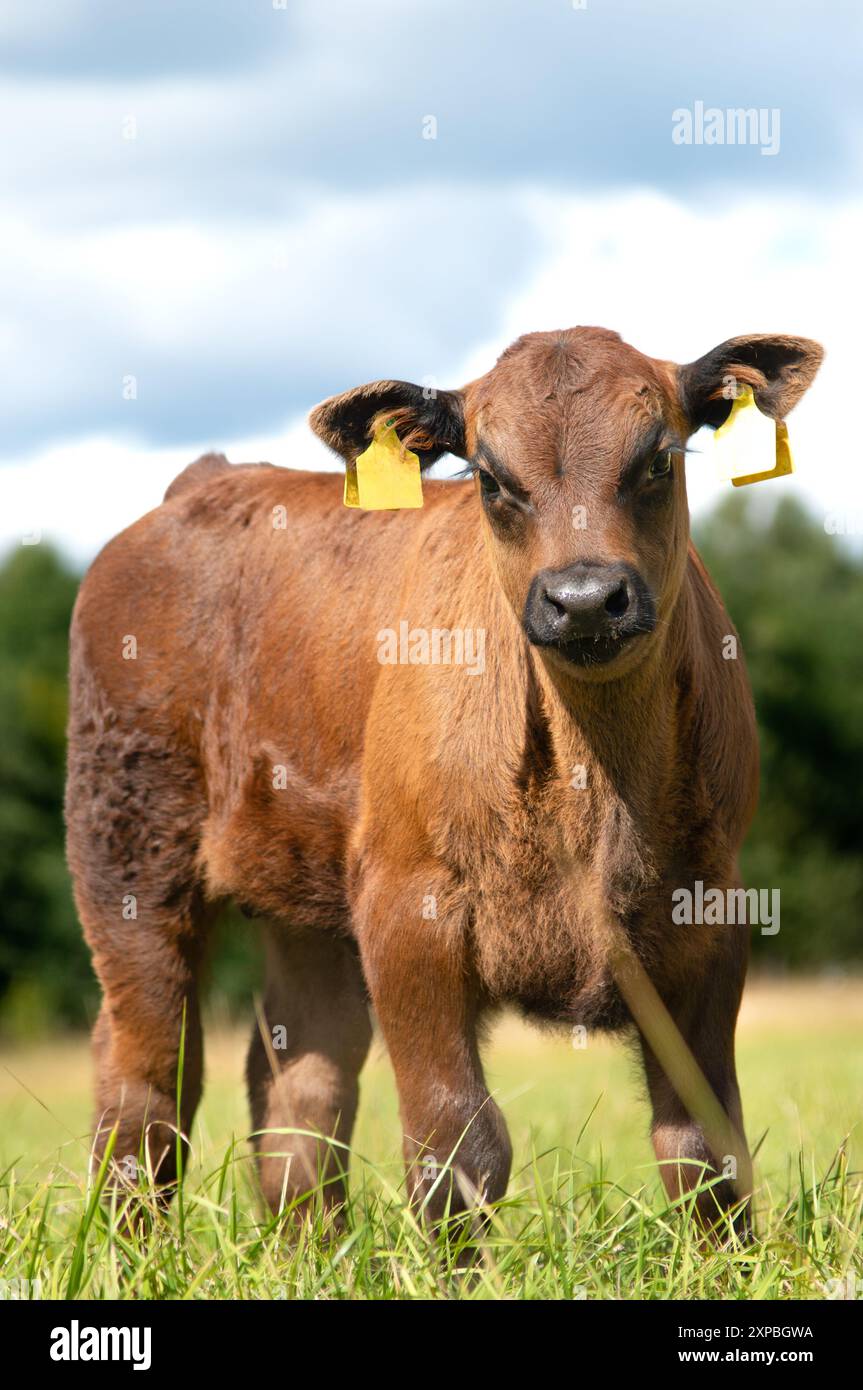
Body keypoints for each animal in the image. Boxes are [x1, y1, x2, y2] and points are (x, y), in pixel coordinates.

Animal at [65, 326, 822, 1235]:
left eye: (657, 459)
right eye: (489, 479)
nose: (583, 600)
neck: (594, 785)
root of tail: (208, 480)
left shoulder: (710, 911)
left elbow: (704, 1147)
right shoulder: (406, 903)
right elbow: (456, 1141)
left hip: (304, 889)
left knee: (300, 1073)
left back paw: (309, 1247)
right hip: (128, 848)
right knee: (149, 1065)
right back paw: (131, 1243)